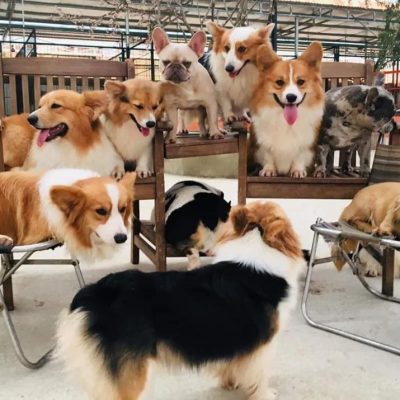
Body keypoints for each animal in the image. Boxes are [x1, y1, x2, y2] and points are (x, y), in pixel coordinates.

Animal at [56, 200, 304, 400]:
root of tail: (96, 292)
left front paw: (230, 384)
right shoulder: (262, 346)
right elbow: (260, 375)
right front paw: (265, 394)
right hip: (135, 375)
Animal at [250, 42, 324, 178]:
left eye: (301, 81)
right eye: (279, 82)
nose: (291, 97)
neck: (285, 121)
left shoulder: (304, 143)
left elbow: (299, 156)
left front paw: (297, 170)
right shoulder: (263, 143)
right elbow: (268, 156)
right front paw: (269, 170)